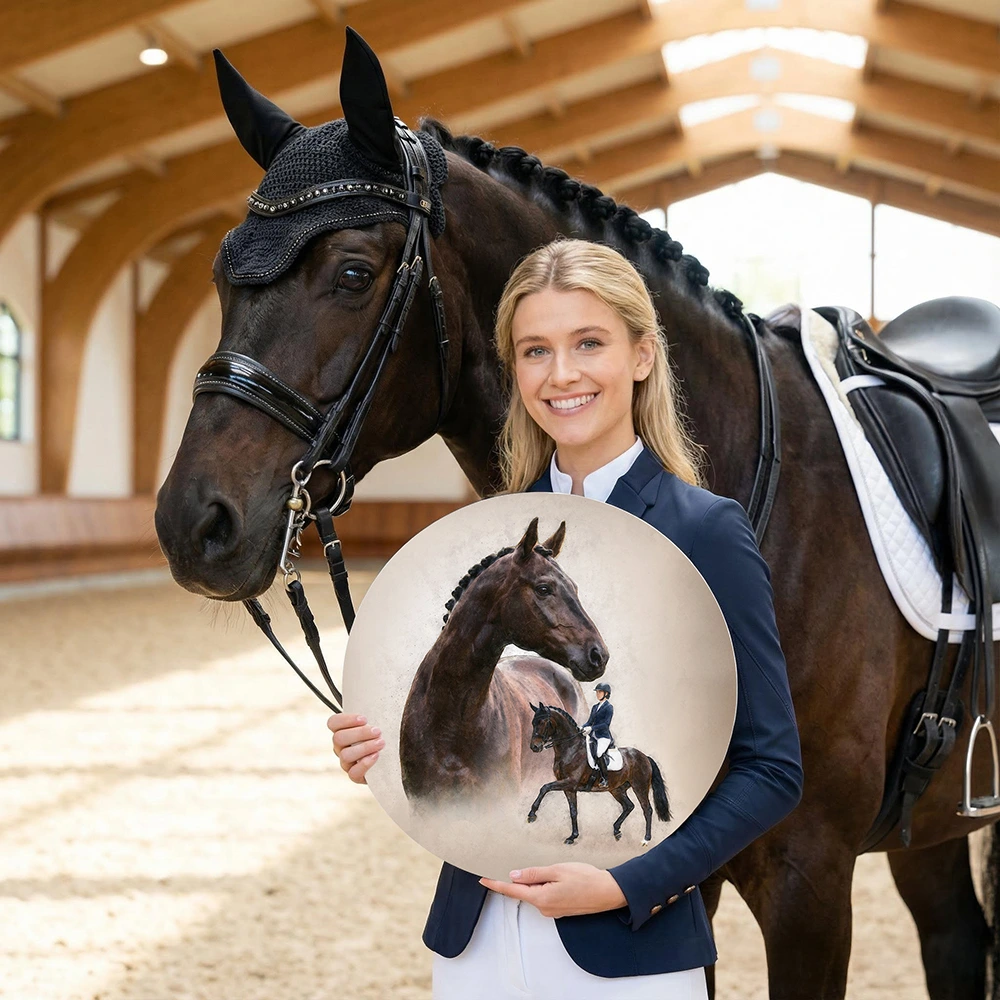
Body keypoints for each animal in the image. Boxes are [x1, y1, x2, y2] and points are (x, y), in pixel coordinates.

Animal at [526, 702, 671, 847]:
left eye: (543, 722)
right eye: (533, 723)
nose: (534, 747)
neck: (571, 749)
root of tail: (645, 757)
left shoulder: (570, 782)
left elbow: (545, 787)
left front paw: (532, 814)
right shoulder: (569, 788)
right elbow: (573, 811)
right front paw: (572, 837)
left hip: (640, 787)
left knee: (647, 809)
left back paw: (646, 839)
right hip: (617, 789)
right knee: (628, 806)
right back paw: (616, 831)